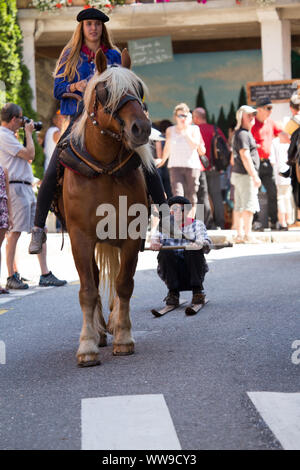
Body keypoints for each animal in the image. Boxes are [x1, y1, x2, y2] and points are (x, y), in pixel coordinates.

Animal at [61, 49, 155, 366]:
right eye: (105, 92)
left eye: (138, 88)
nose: (141, 128)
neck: (103, 168)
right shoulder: (81, 238)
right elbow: (88, 290)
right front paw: (87, 344)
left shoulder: (131, 235)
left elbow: (124, 283)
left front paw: (124, 336)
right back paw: (100, 330)